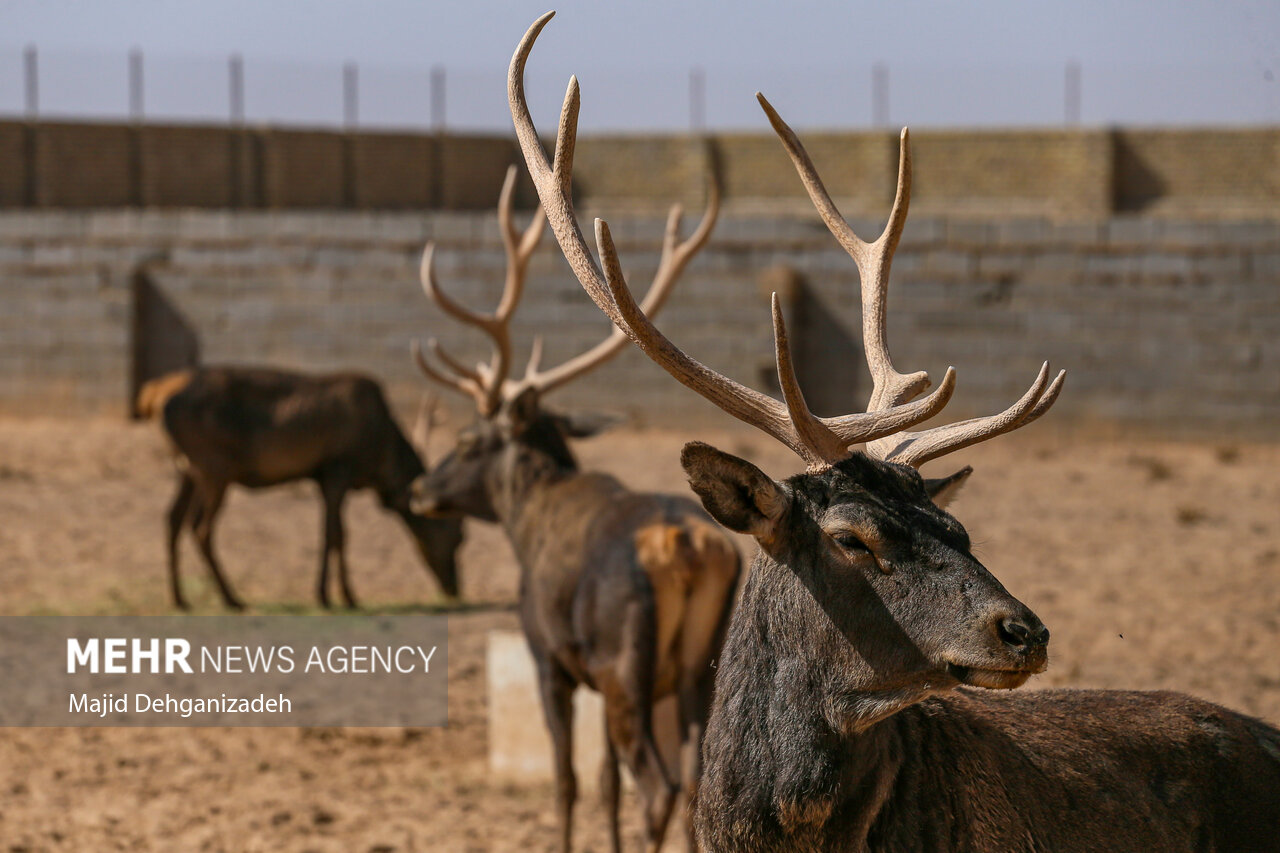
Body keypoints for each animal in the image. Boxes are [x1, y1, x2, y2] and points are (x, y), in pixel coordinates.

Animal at [138, 361, 465, 607]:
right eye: (460, 534)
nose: (455, 589)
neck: (381, 460)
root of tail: (154, 397)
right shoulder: (337, 470)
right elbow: (338, 535)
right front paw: (342, 597)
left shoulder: (322, 477)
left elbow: (328, 533)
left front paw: (328, 594)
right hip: (214, 468)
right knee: (200, 528)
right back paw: (232, 599)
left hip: (186, 470)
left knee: (173, 520)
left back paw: (180, 599)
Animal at [409, 162, 742, 845]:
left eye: (467, 439)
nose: (419, 490)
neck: (526, 524)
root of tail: (690, 550)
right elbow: (606, 783)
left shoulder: (551, 660)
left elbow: (568, 780)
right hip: (698, 671)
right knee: (695, 786)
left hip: (624, 667)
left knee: (659, 788)